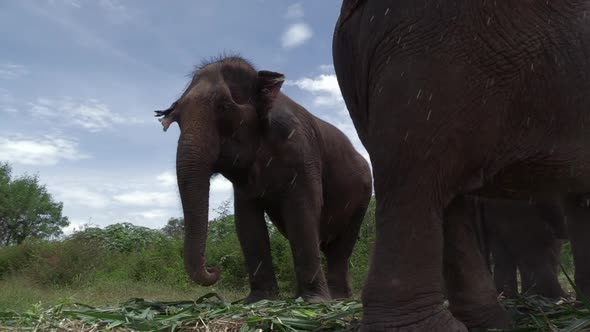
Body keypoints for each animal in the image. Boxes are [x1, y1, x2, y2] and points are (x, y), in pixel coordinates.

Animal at [155, 55, 372, 304]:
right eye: (177, 117)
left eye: (224, 107)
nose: (215, 268)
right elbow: (247, 220)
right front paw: (258, 300)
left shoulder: (302, 152)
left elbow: (302, 211)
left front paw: (313, 301)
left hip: (363, 197)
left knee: (342, 246)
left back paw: (337, 298)